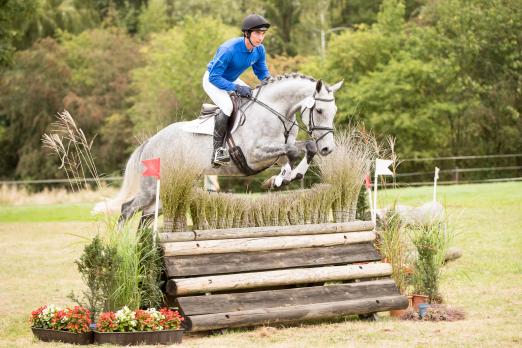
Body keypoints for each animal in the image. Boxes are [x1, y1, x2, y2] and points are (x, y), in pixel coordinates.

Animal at [94, 72, 342, 228]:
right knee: (127, 209)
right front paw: (284, 178)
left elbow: (302, 149)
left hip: (169, 189)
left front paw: (284, 177)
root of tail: (150, 142)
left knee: (146, 216)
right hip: (152, 187)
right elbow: (295, 151)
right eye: (319, 110)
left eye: (334, 111)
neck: (275, 111)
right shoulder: (255, 155)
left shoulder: (278, 151)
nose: (328, 148)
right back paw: (119, 249)